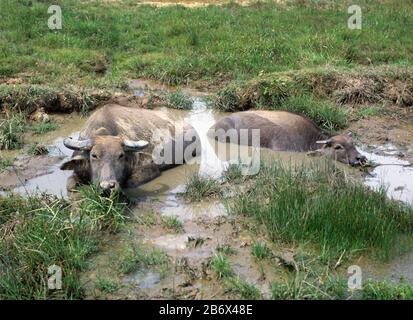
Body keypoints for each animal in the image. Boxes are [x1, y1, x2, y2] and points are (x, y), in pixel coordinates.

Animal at [60, 104, 200, 192]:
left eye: (120, 155)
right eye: (94, 155)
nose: (107, 186)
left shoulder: (151, 168)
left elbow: (129, 183)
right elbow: (70, 185)